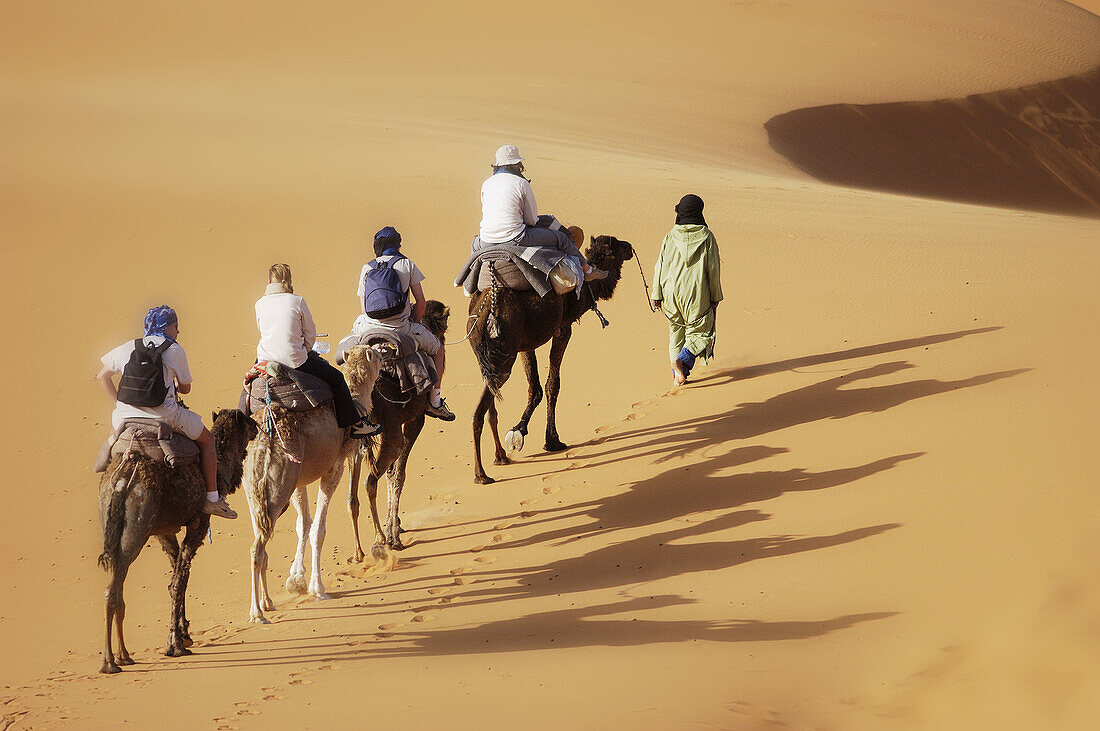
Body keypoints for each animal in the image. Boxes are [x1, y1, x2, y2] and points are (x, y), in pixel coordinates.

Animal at [95, 406, 257, 668]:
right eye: (245, 420)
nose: (257, 426)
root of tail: (122, 480)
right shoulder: (198, 523)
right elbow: (179, 582)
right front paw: (176, 644)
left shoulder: (164, 532)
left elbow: (178, 576)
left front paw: (184, 634)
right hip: (138, 525)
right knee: (115, 585)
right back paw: (111, 662)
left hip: (110, 516)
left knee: (115, 588)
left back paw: (122, 656)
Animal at [238, 345, 380, 619]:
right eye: (376, 355)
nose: (384, 350)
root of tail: (263, 448)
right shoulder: (334, 467)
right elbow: (318, 529)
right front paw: (317, 587)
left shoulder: (299, 480)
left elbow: (303, 524)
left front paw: (296, 579)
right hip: (277, 488)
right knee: (256, 549)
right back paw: (257, 613)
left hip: (255, 492)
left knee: (261, 541)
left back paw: (267, 602)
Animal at [466, 235, 638, 483]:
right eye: (616, 246)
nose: (630, 247)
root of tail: (483, 315)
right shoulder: (563, 329)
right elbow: (552, 384)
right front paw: (552, 440)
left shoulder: (525, 344)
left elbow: (535, 386)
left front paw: (518, 431)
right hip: (503, 356)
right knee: (479, 412)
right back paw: (481, 474)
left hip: (489, 358)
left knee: (490, 405)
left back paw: (500, 457)